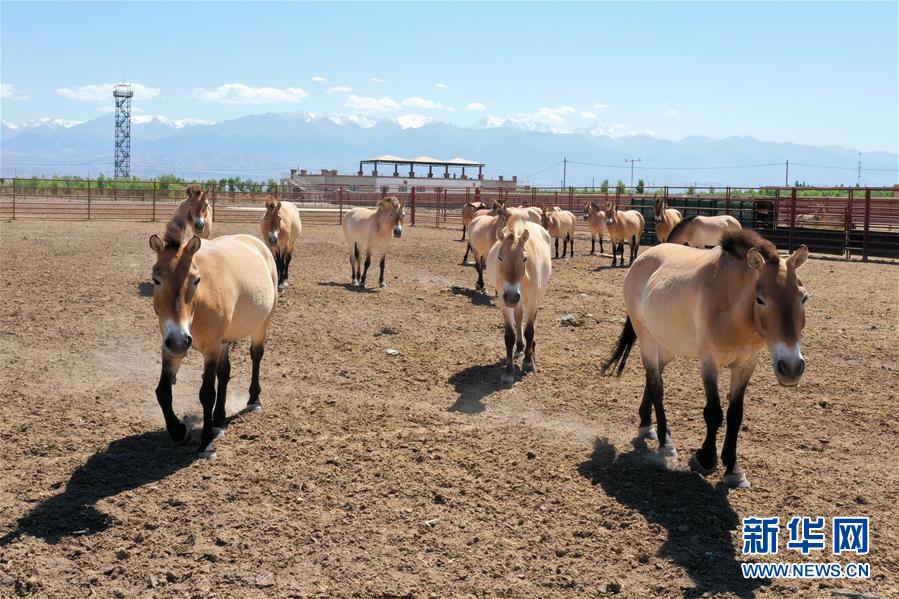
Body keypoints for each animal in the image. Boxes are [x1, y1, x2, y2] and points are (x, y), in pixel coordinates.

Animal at [149, 218, 278, 462]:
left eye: (196, 280)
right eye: (156, 280)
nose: (180, 340)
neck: (199, 305)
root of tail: (258, 244)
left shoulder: (210, 348)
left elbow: (207, 394)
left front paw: (206, 443)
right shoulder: (170, 346)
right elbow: (163, 392)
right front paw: (179, 432)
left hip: (261, 324)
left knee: (256, 355)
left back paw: (253, 401)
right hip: (222, 341)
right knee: (224, 372)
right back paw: (219, 419)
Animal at [488, 218, 552, 382]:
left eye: (524, 258)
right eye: (500, 257)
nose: (512, 296)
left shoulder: (531, 301)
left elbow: (529, 330)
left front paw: (528, 362)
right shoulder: (504, 303)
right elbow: (509, 335)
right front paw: (508, 372)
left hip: (536, 296)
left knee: (533, 319)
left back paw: (531, 350)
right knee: (518, 317)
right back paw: (519, 348)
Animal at [600, 230, 812, 488]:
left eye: (803, 298)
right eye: (760, 299)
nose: (791, 368)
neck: (732, 309)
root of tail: (642, 258)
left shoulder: (745, 365)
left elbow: (735, 414)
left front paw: (733, 469)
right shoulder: (709, 362)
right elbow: (714, 413)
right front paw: (706, 459)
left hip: (667, 345)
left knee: (652, 377)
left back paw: (646, 425)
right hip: (646, 337)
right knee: (656, 384)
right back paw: (665, 443)